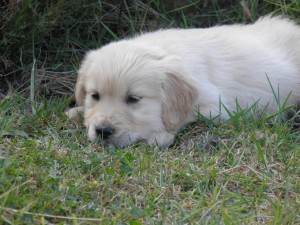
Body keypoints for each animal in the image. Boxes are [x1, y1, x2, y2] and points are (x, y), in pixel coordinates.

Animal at [68, 17, 300, 148]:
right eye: (94, 95)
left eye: (133, 99)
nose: (102, 131)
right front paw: (76, 112)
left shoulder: (216, 106)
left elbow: (186, 118)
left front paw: (160, 136)